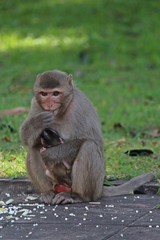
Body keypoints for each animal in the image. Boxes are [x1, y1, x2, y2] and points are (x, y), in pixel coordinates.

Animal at [19, 70, 152, 204]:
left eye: (56, 93)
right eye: (44, 94)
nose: (49, 104)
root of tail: (100, 189)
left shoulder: (80, 105)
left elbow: (91, 139)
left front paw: (49, 154)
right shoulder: (36, 104)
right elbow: (25, 137)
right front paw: (38, 122)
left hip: (93, 183)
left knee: (89, 146)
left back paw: (79, 196)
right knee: (34, 148)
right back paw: (48, 192)